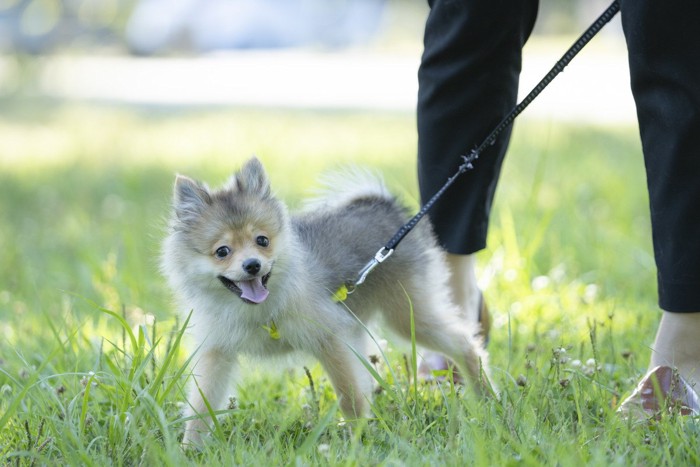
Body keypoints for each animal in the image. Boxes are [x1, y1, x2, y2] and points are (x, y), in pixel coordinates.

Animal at [163, 158, 492, 446]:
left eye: (262, 241)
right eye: (222, 251)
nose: (253, 265)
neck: (257, 309)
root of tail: (385, 205)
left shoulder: (329, 338)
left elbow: (349, 395)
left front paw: (357, 439)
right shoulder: (216, 351)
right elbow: (201, 403)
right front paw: (189, 447)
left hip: (407, 314)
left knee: (462, 341)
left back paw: (486, 396)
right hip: (361, 325)